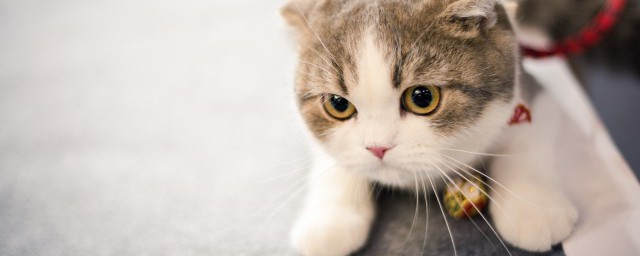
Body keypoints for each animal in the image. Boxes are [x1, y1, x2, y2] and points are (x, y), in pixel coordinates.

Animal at [282, 1, 576, 255]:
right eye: (338, 104)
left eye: (422, 97)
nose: (378, 147)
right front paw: (329, 220)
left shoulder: (531, 88)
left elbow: (527, 139)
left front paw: (534, 207)